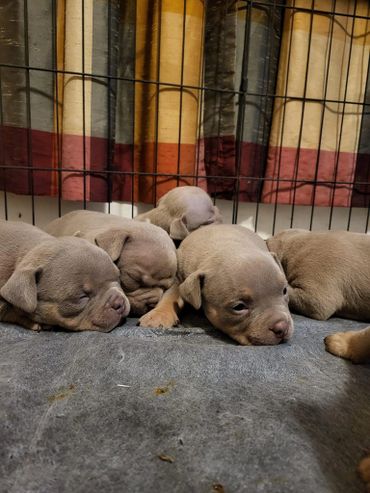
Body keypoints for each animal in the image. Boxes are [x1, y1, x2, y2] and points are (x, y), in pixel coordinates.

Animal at [137, 224, 294, 344]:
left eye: (284, 291)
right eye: (239, 307)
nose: (282, 327)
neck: (223, 248)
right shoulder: (179, 279)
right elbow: (170, 295)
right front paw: (158, 315)